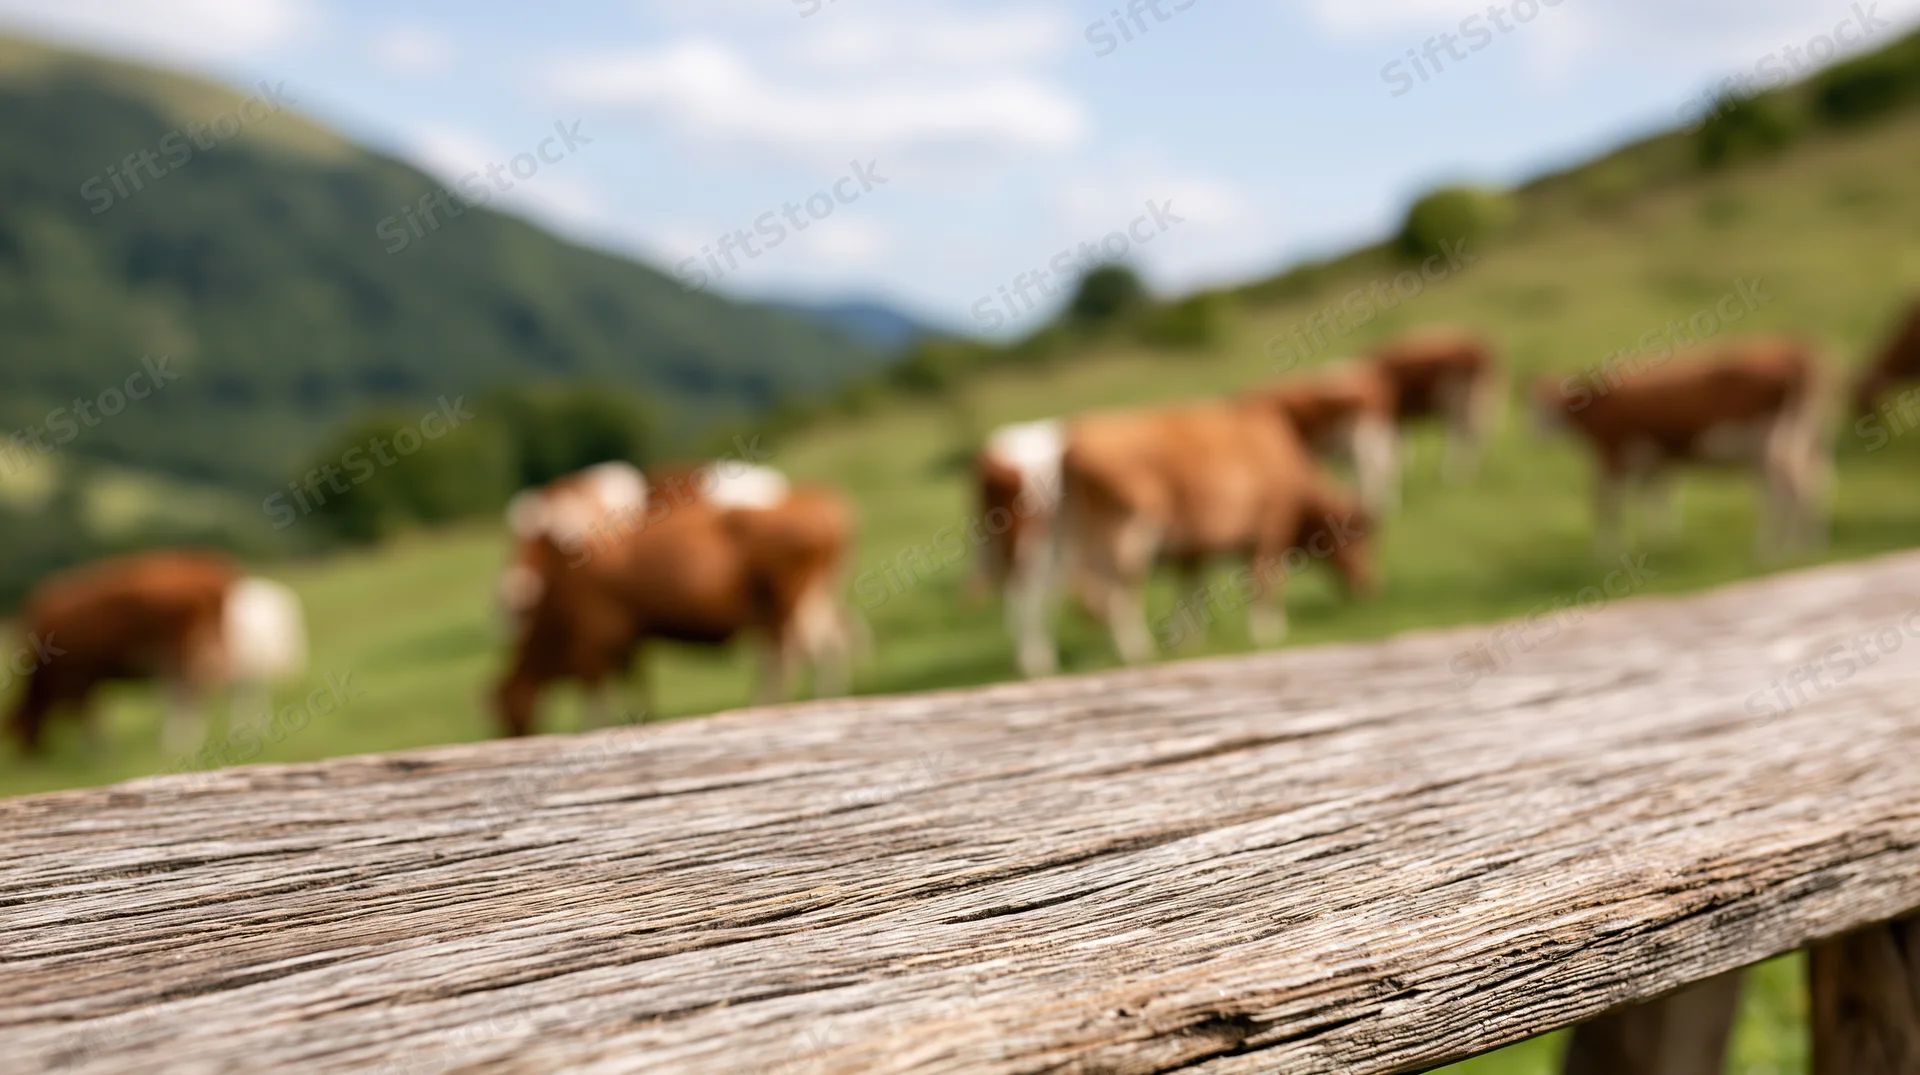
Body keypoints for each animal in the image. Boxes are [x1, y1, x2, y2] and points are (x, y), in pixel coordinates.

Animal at [7, 550, 307, 757]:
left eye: (19, 728)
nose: (31, 756)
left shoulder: (81, 674)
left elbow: (88, 714)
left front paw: (96, 751)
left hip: (186, 653)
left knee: (197, 694)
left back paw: (182, 742)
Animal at [492, 461, 860, 736]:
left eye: (510, 712)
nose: (516, 735)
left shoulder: (597, 640)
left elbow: (597, 706)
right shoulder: (626, 641)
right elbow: (636, 686)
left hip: (786, 601)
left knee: (793, 656)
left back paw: (771, 706)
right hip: (802, 600)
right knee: (823, 646)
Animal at [1016, 399, 1377, 675]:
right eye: (1358, 539)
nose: (1366, 587)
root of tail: (1071, 443)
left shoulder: (1192, 551)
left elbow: (1189, 592)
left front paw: (1190, 641)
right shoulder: (1271, 529)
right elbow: (1266, 583)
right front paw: (1267, 634)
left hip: (1062, 538)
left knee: (1042, 594)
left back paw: (1041, 661)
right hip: (1128, 531)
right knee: (1114, 591)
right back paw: (1136, 651)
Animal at [1367, 328, 1505, 482]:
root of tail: (1477, 349)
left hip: (1456, 399)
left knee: (1461, 432)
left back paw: (1453, 472)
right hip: (1477, 402)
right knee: (1475, 433)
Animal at [1532, 338, 1833, 559]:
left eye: (1554, 403)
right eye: (1532, 403)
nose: (1534, 432)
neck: (1596, 404)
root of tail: (1797, 351)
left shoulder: (1611, 456)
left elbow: (1608, 504)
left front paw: (1607, 554)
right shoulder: (1658, 461)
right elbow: (1660, 498)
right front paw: (1662, 544)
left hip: (1771, 443)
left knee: (1791, 489)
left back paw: (1775, 551)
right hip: (1799, 439)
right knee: (1813, 481)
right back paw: (1809, 545)